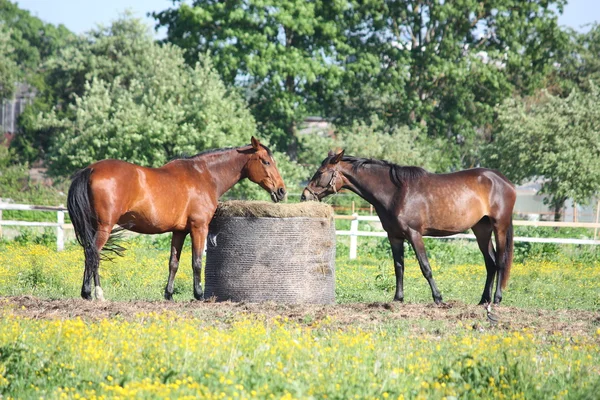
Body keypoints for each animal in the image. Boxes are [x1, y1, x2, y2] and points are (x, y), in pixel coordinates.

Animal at [67, 138, 288, 300]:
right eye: (266, 161)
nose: (281, 191)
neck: (205, 175)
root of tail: (91, 169)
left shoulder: (179, 231)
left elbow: (173, 262)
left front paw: (169, 294)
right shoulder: (199, 228)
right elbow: (197, 261)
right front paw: (199, 295)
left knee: (92, 255)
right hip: (104, 227)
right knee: (93, 254)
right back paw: (93, 293)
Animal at [302, 152, 516, 304]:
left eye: (320, 173)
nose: (305, 195)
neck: (397, 192)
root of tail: (504, 180)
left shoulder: (414, 234)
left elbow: (425, 267)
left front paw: (438, 298)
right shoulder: (394, 236)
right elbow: (399, 267)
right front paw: (398, 298)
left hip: (500, 227)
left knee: (500, 261)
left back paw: (496, 299)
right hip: (481, 230)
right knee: (490, 263)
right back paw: (483, 300)